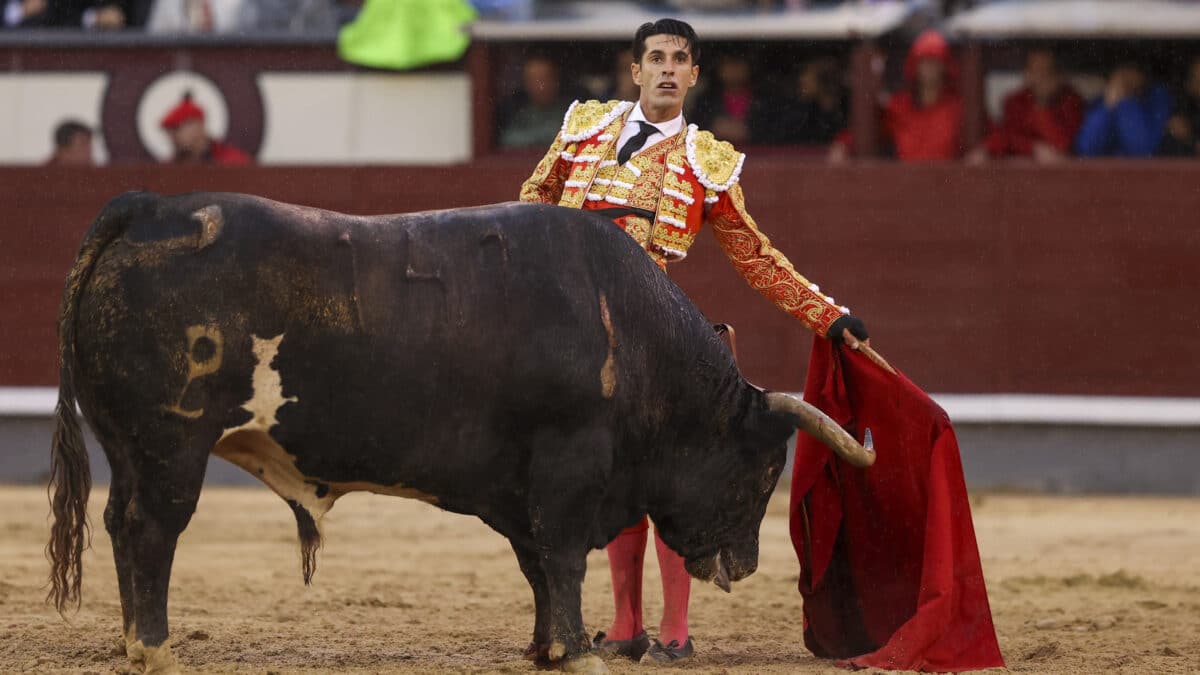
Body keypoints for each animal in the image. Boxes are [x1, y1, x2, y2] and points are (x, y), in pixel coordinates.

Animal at [46, 192, 873, 667]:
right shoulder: (570, 463)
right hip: (172, 443)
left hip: (129, 444)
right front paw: (580, 653)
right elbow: (563, 557)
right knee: (153, 527)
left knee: (118, 522)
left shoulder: (519, 483)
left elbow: (537, 563)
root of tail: (150, 208)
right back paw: (156, 649)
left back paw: (134, 641)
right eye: (765, 470)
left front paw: (549, 646)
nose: (747, 565)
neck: (629, 328)